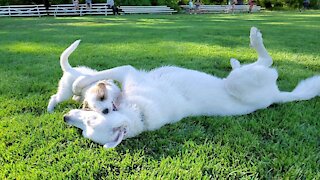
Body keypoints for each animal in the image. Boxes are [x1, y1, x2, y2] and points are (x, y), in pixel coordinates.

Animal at [63, 27, 320, 148]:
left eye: (91, 119)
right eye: (83, 129)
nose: (65, 118)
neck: (138, 113)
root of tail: (277, 96)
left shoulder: (126, 71)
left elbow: (88, 78)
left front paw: (78, 87)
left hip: (238, 82)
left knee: (266, 60)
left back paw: (251, 42)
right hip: (243, 80)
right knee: (261, 64)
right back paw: (239, 58)